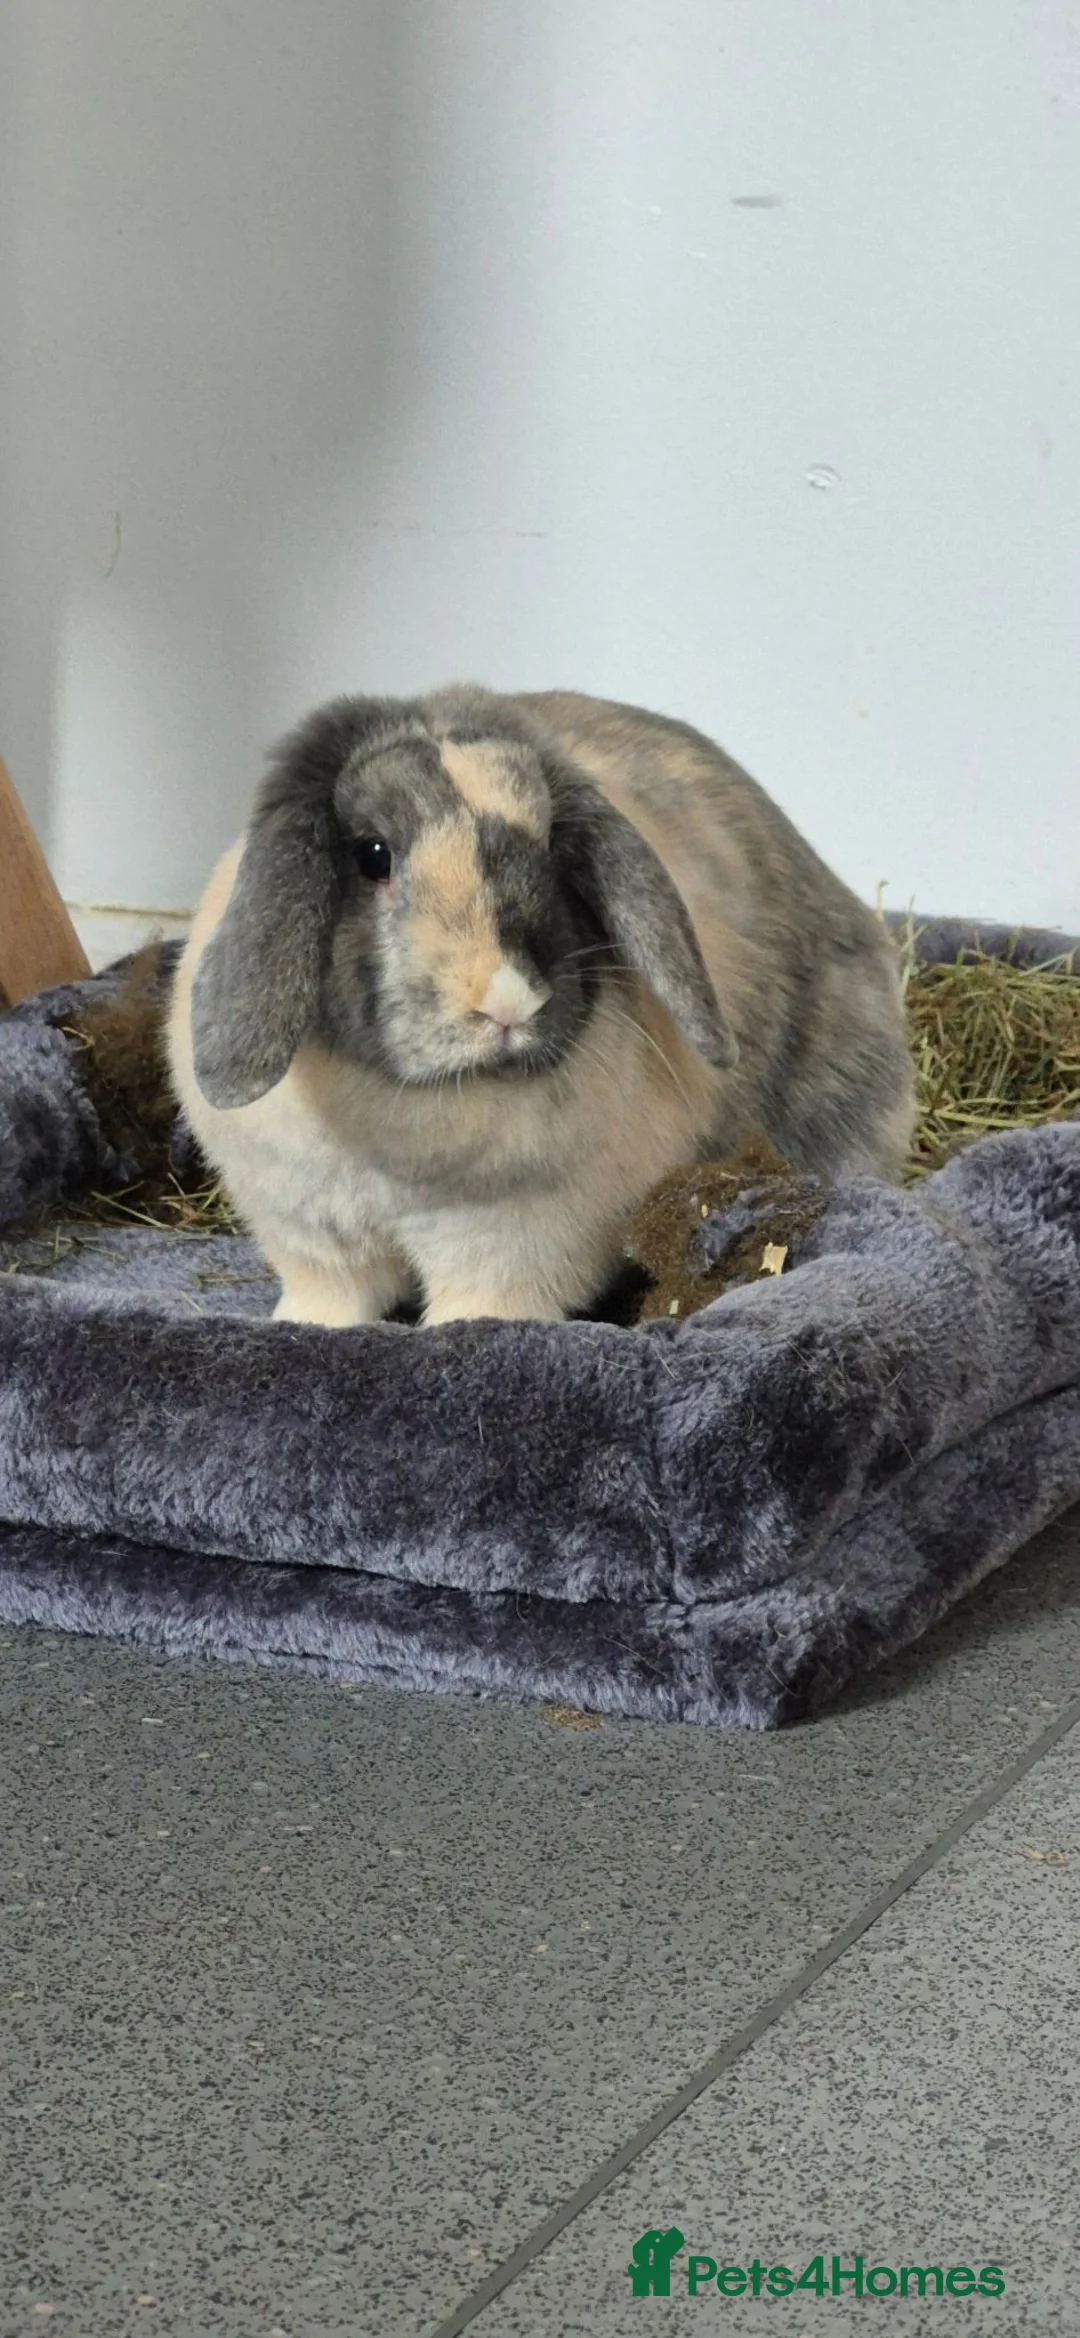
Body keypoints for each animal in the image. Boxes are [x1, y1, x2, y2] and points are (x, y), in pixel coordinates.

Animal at [167, 684, 915, 1327]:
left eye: (553, 849)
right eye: (373, 854)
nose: (508, 1003)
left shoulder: (514, 1241)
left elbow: (479, 1304)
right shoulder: (314, 1236)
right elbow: (332, 1296)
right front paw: (304, 1326)